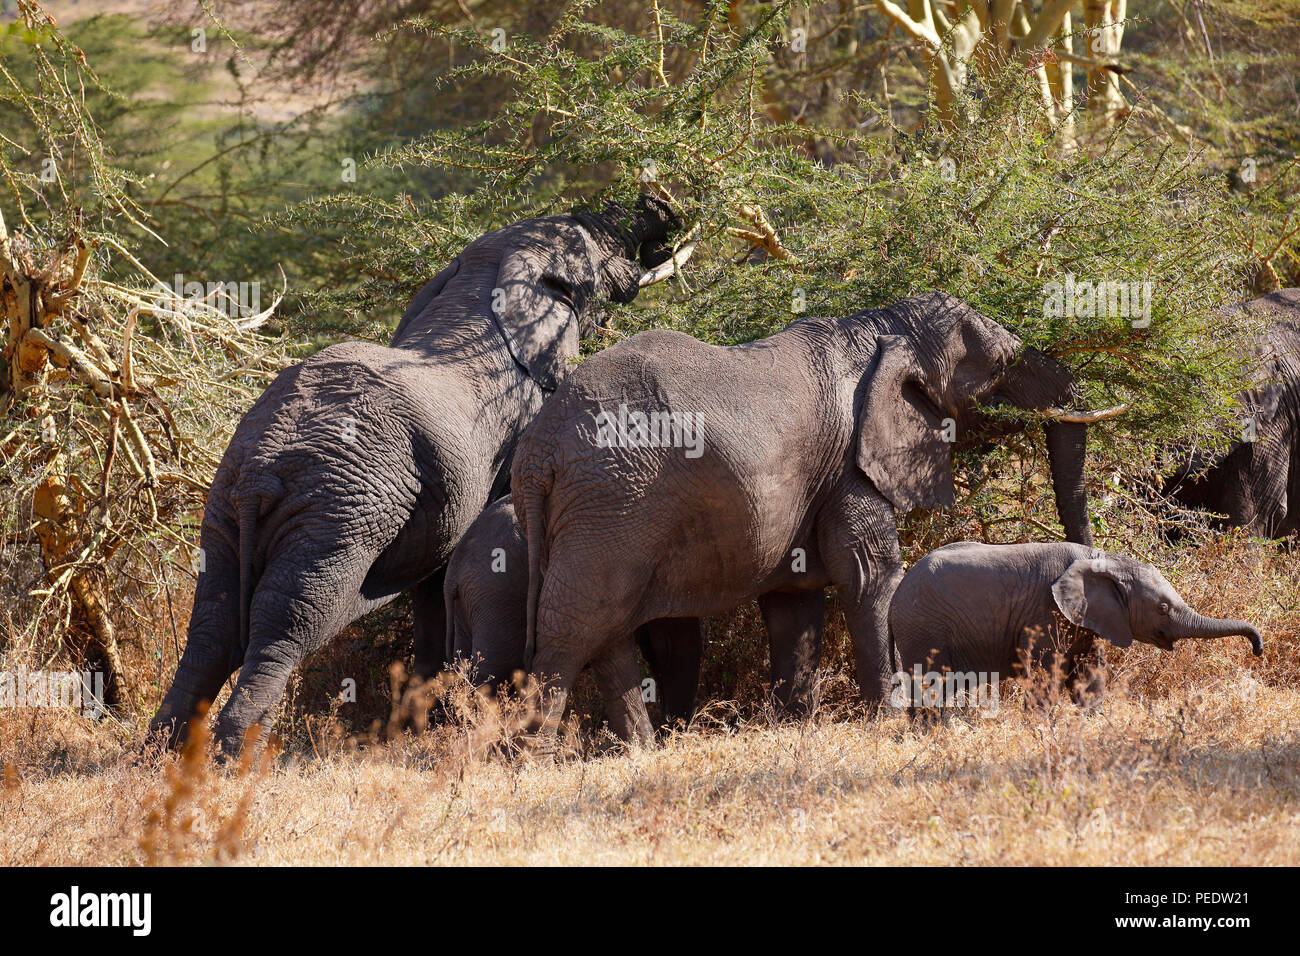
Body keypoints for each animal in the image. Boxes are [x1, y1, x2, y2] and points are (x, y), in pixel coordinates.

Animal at [509, 291, 1118, 749]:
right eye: (999, 369)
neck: (885, 329)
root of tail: (538, 449)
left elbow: (794, 602)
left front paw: (793, 726)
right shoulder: (852, 464)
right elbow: (871, 576)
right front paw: (892, 722)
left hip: (600, 511)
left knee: (603, 630)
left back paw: (641, 752)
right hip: (611, 506)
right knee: (574, 627)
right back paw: (533, 758)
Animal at [889, 541, 1263, 707]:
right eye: (1162, 608)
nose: (1258, 650)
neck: (1104, 561)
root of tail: (894, 597)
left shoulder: (1088, 619)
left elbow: (1089, 674)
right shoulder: (1043, 615)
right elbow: (1045, 674)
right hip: (923, 628)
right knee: (931, 685)